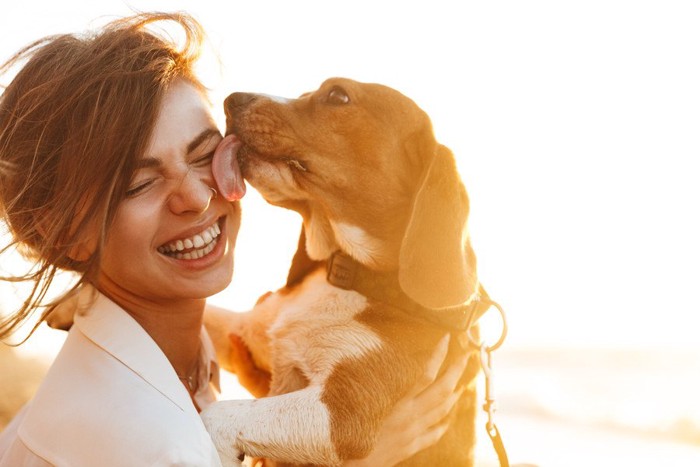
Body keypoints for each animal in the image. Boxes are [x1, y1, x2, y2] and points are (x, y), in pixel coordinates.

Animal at [200, 78, 492, 466]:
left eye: (338, 95)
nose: (231, 100)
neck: (346, 273)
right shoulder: (245, 333)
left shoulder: (343, 413)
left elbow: (220, 415)